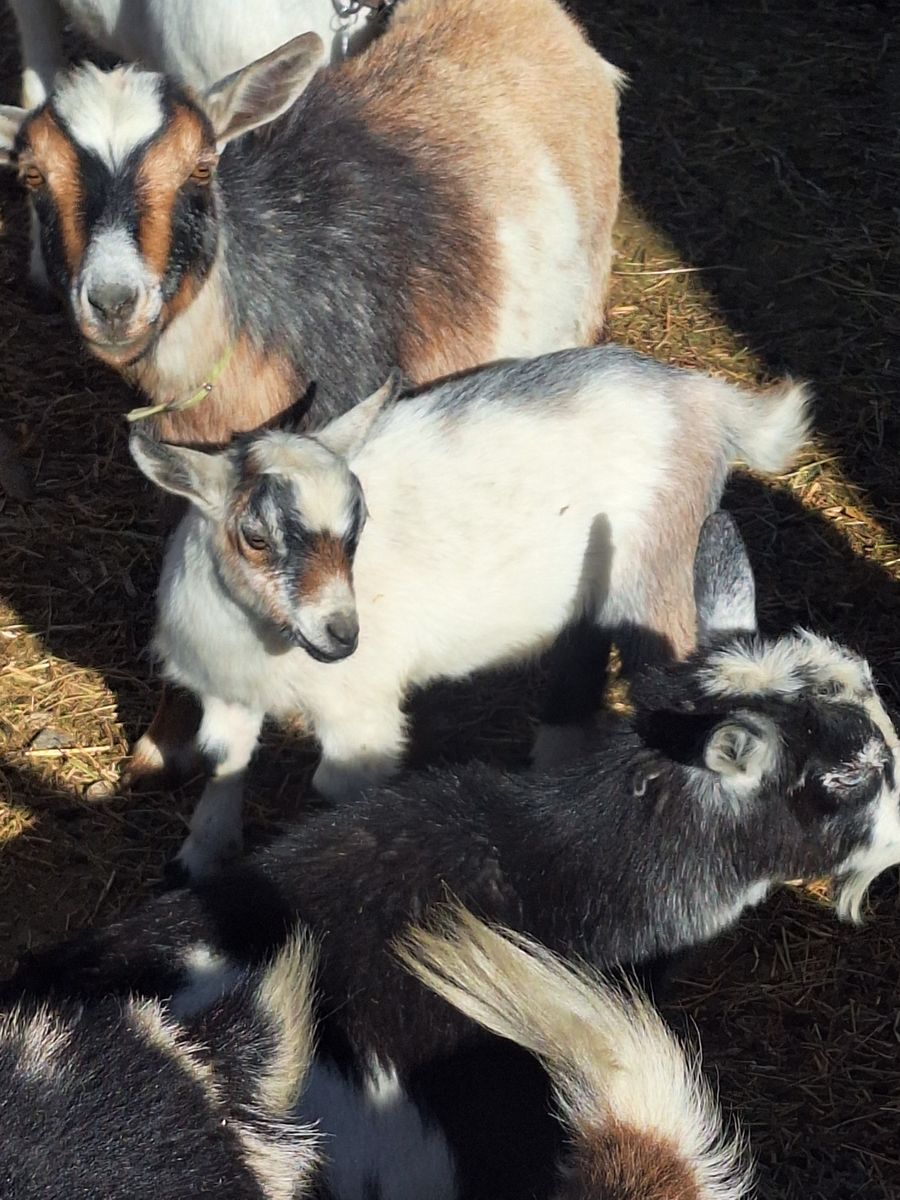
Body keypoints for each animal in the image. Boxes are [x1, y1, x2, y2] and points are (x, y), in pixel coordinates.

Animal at [129, 346, 811, 878]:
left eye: (358, 528)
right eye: (255, 536)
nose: (342, 635)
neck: (259, 640)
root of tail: (706, 397)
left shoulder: (358, 720)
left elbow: (333, 791)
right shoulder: (225, 690)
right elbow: (224, 761)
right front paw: (198, 857)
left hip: (662, 570)